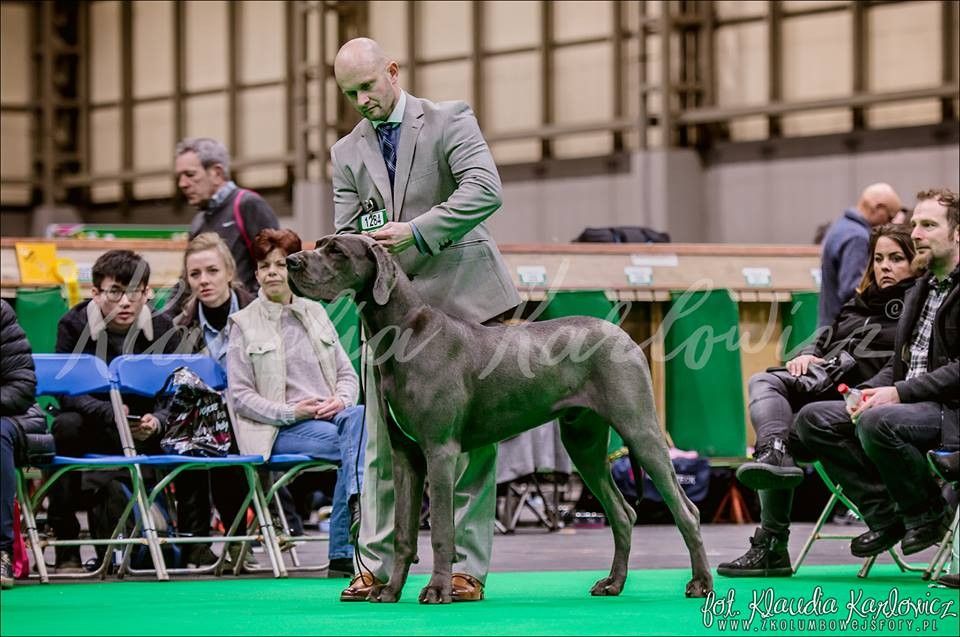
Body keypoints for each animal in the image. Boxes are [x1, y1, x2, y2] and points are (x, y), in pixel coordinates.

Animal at [287, 234, 712, 603]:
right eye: (320, 243)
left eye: (336, 250)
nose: (291, 261)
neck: (403, 333)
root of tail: (624, 337)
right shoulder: (406, 455)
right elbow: (404, 533)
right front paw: (389, 592)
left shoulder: (439, 451)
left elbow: (442, 529)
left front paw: (437, 590)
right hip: (584, 444)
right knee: (623, 513)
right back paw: (613, 583)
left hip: (640, 430)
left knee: (686, 511)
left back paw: (700, 584)